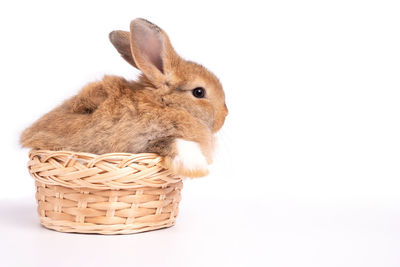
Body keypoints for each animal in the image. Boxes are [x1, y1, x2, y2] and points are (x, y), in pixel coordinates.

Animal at [20, 18, 228, 178]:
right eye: (199, 92)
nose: (224, 115)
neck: (163, 103)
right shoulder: (143, 139)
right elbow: (177, 143)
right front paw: (198, 168)